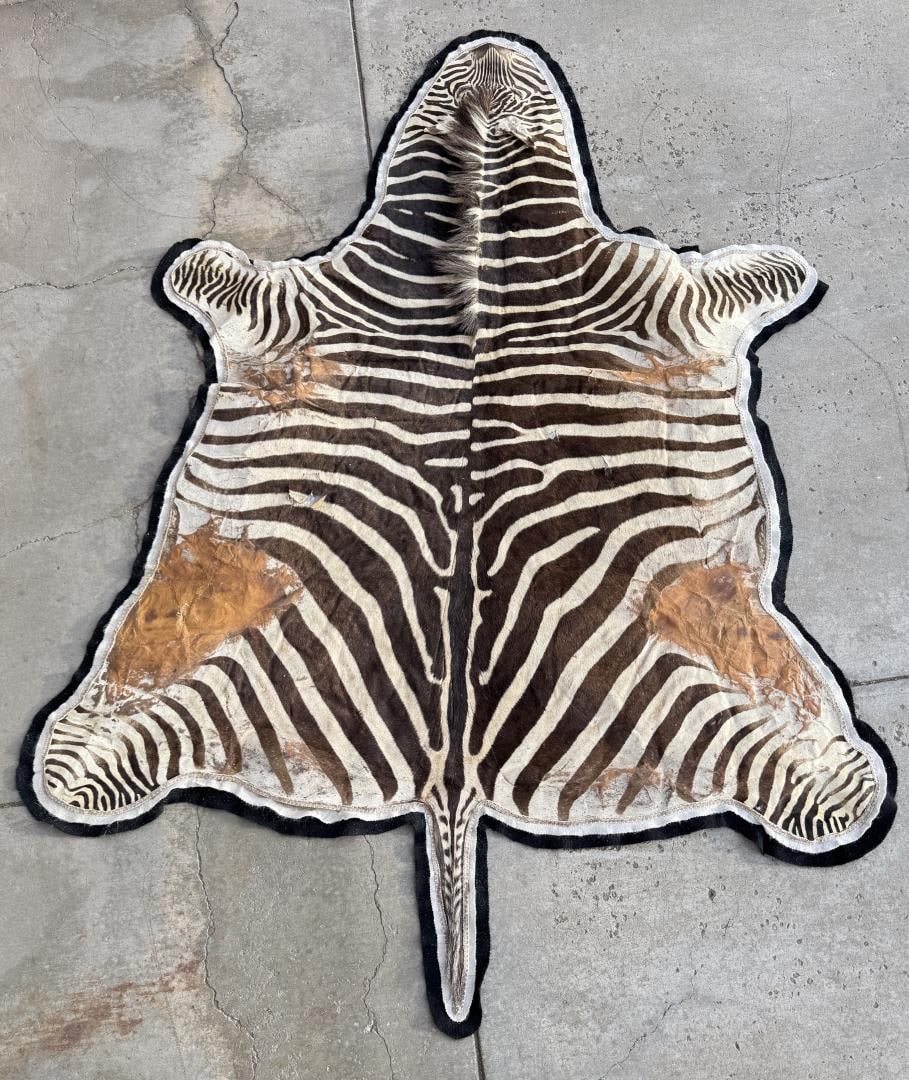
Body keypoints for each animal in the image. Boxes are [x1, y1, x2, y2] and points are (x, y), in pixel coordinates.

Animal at [22, 34, 892, 1034]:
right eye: (451, 85)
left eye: (478, 81)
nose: (486, 43)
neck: (482, 228)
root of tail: (453, 778)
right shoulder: (298, 305)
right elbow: (203, 272)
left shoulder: (666, 299)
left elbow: (754, 274)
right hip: (207, 640)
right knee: (87, 758)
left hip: (707, 653)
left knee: (821, 785)